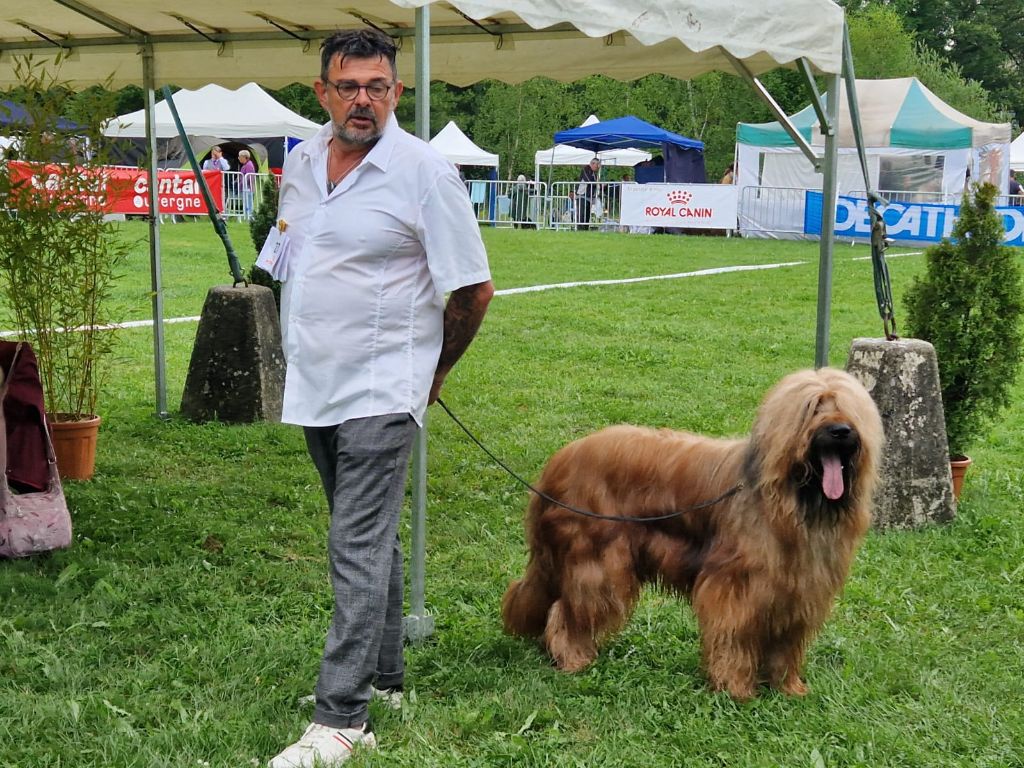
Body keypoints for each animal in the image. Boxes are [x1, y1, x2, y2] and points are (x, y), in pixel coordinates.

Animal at [499, 370, 884, 700]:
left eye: (847, 409)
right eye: (813, 407)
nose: (840, 431)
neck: (796, 501)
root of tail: (559, 461)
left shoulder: (797, 592)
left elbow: (785, 645)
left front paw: (787, 687)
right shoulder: (737, 589)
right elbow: (734, 636)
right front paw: (735, 689)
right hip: (596, 562)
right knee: (567, 611)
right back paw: (574, 657)